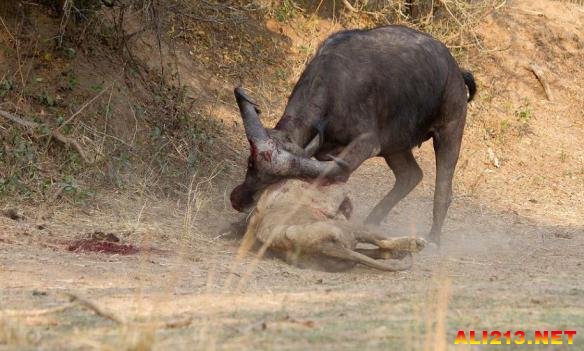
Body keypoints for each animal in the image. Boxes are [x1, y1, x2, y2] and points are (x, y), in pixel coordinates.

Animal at [240, 180, 426, 274]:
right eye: (306, 184)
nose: (341, 182)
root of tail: (319, 246)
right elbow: (382, 241)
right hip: (351, 229)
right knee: (381, 241)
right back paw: (416, 244)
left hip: (345, 254)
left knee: (368, 252)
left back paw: (399, 253)